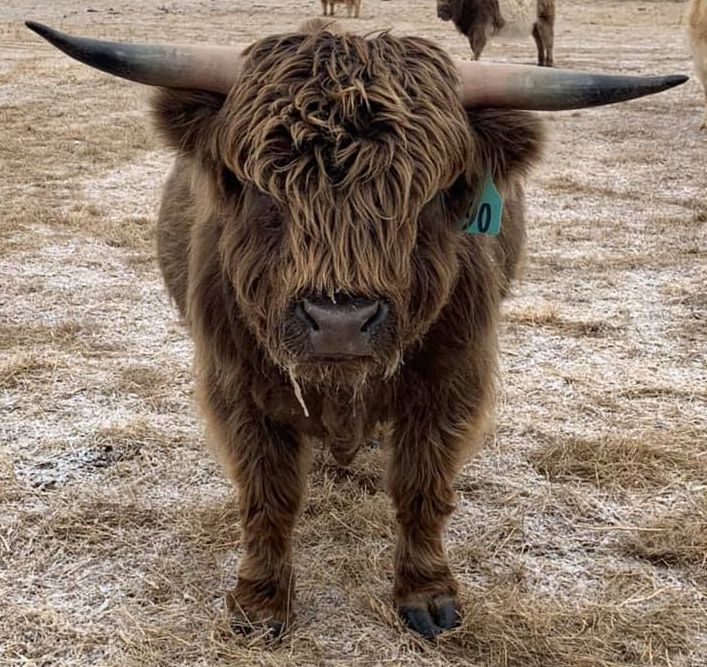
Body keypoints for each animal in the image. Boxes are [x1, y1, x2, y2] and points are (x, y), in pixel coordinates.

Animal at [26, 19, 685, 639]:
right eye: (262, 189)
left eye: (431, 194)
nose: (339, 323)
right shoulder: (236, 387)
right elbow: (267, 495)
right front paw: (260, 603)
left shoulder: (452, 382)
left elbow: (422, 488)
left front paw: (427, 596)